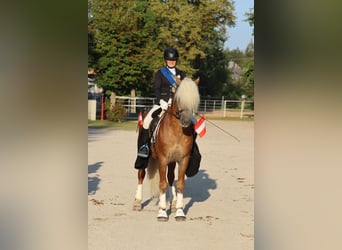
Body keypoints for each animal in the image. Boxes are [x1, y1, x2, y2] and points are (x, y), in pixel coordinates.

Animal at [132, 76, 199, 221]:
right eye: (178, 98)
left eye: (195, 100)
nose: (186, 121)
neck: (177, 131)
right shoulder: (162, 159)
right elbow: (162, 183)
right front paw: (162, 212)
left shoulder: (183, 159)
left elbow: (179, 183)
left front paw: (179, 211)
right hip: (145, 157)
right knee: (141, 175)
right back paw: (137, 202)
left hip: (172, 161)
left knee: (170, 177)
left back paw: (173, 203)